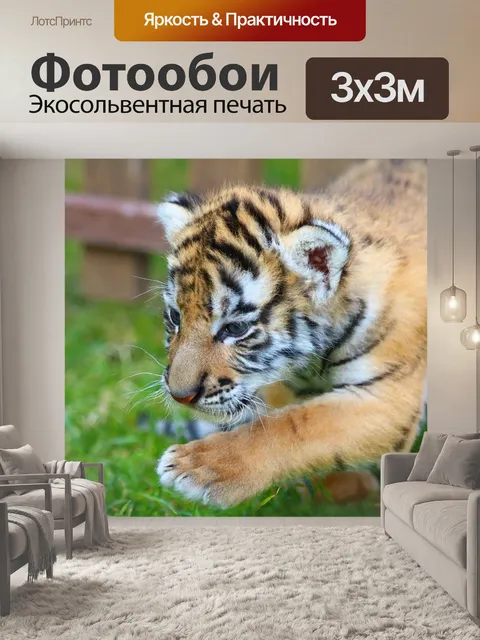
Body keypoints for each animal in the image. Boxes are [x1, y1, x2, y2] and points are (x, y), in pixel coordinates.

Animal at [155, 160, 427, 508]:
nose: (180, 396)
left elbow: (293, 427)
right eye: (175, 317)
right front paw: (333, 493)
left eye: (235, 328)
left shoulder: (388, 397)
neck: (313, 361)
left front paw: (199, 467)